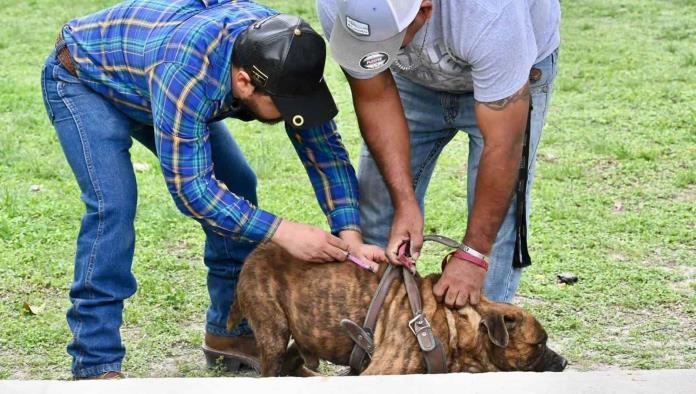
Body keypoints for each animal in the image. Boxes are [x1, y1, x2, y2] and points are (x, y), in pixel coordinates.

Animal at [228, 243, 564, 376]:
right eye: (539, 344)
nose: (563, 362)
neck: (452, 324)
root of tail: (257, 251)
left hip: (309, 334)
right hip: (273, 331)